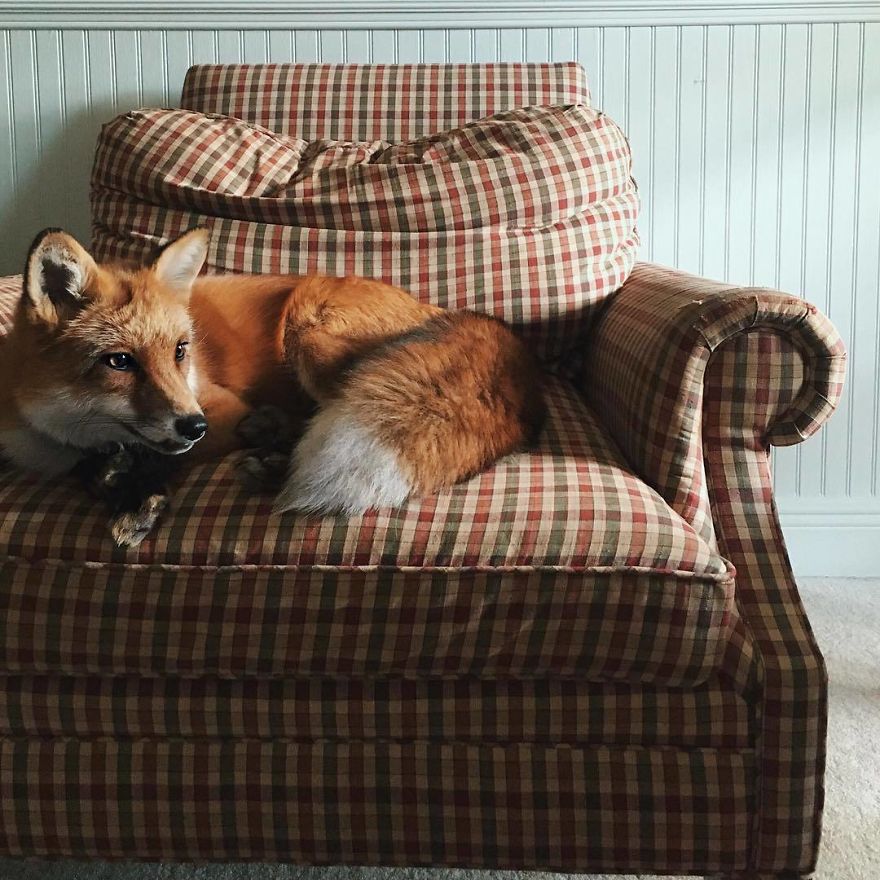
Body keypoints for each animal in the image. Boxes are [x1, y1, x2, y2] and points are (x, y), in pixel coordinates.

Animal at [0, 227, 546, 545]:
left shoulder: (220, 408)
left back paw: (273, 461)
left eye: (180, 351)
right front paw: (122, 484)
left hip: (307, 331)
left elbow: (154, 456)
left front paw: (137, 497)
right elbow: (95, 469)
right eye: (119, 362)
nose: (193, 425)